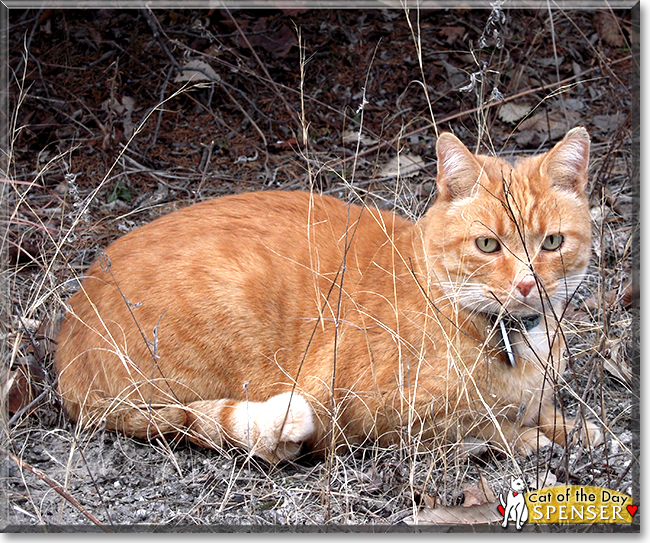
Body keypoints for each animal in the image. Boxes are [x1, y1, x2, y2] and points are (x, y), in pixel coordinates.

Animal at [53, 129, 600, 464]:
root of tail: (66, 342)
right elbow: (483, 425)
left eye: (552, 242)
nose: (527, 284)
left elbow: (539, 411)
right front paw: (528, 438)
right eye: (488, 245)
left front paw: (572, 427)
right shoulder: (372, 414)